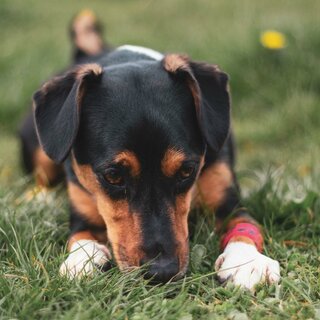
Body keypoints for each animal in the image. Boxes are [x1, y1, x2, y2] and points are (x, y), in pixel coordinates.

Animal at [20, 11, 280, 288]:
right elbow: (80, 237)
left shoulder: (227, 199)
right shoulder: (82, 212)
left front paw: (246, 262)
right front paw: (81, 263)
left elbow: (243, 222)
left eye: (187, 171)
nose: (161, 271)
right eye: (113, 175)